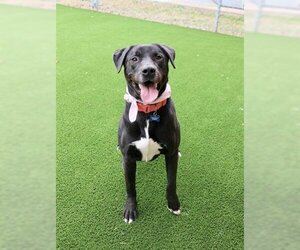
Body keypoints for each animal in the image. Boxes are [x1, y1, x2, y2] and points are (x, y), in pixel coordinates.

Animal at [113, 44, 180, 224]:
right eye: (134, 58)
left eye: (159, 57)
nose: (148, 70)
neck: (148, 110)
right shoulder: (128, 159)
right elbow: (130, 187)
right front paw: (130, 210)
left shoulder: (170, 154)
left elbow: (171, 182)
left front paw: (173, 204)